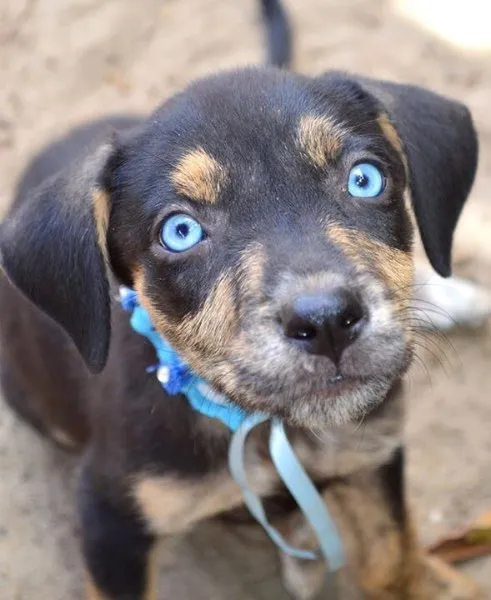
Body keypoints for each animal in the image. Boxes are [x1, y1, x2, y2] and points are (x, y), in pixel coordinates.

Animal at [0, 5, 484, 600]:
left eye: (365, 179)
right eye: (180, 231)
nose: (327, 321)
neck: (272, 428)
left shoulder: (374, 452)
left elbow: (391, 560)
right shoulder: (111, 517)